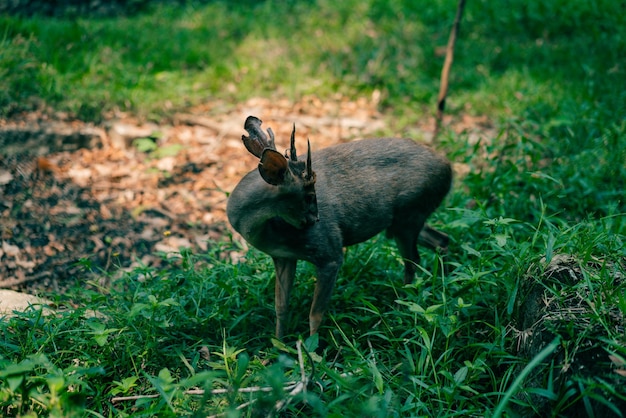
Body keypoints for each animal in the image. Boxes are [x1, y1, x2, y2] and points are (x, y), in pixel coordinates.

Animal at [227, 116, 450, 338]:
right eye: (309, 196)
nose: (315, 220)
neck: (270, 233)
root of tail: (448, 168)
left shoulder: (330, 253)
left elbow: (315, 314)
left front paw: (310, 347)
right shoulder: (283, 257)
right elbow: (281, 307)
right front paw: (278, 343)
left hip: (409, 214)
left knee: (413, 260)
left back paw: (402, 307)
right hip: (402, 221)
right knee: (441, 240)